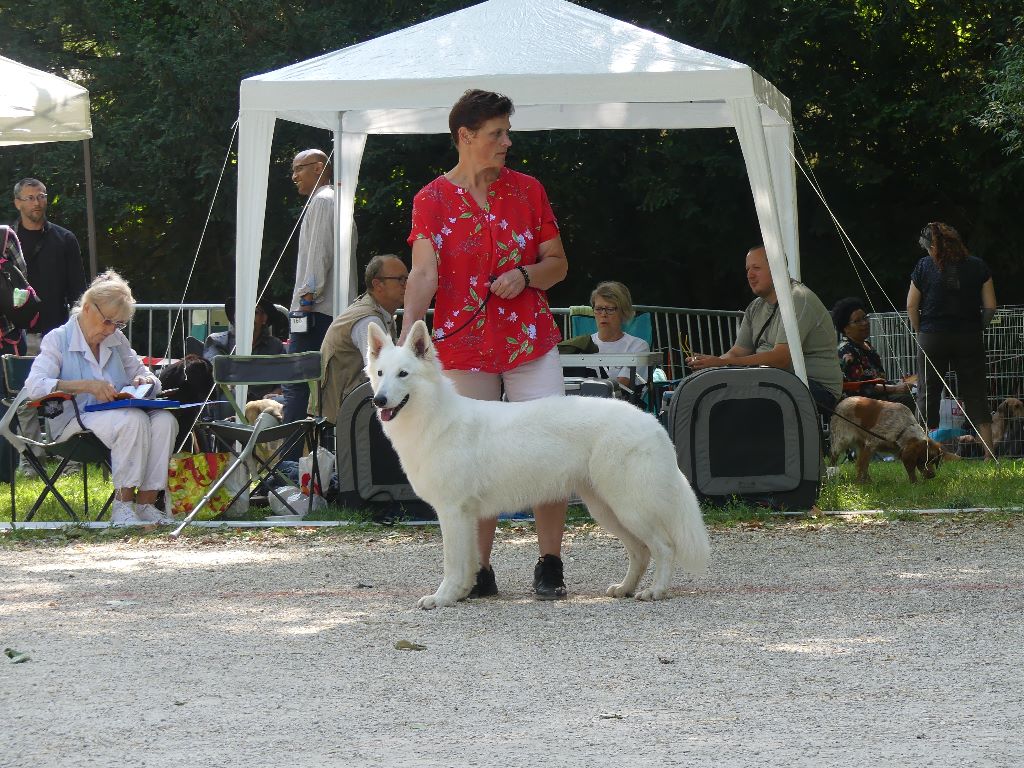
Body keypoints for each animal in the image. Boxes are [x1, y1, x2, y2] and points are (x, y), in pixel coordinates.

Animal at [368, 321, 712, 610]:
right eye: (381, 374)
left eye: (403, 374)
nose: (378, 400)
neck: (435, 418)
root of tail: (651, 422)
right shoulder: (466, 516)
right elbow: (468, 563)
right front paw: (462, 593)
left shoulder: (453, 512)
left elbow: (452, 563)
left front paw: (442, 598)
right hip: (606, 509)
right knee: (641, 551)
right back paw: (625, 588)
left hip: (629, 508)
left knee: (664, 547)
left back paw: (655, 591)